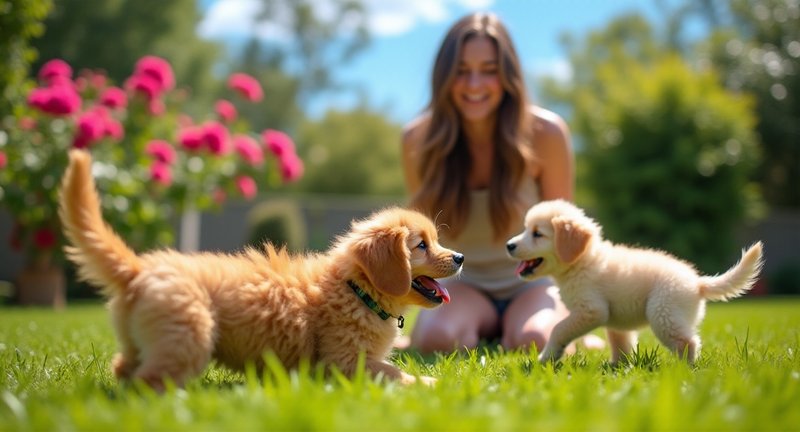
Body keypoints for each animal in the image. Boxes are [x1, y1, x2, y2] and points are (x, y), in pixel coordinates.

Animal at [59, 150, 466, 390]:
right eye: (422, 245)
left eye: (435, 240)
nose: (460, 257)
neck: (356, 288)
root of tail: (139, 268)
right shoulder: (343, 362)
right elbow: (393, 373)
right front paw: (430, 383)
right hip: (187, 334)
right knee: (150, 381)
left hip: (144, 339)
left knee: (122, 369)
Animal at [506, 200, 764, 364]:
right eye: (526, 229)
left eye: (537, 233)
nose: (509, 245)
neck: (582, 261)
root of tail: (698, 283)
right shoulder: (613, 321)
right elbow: (620, 344)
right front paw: (618, 367)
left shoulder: (591, 310)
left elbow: (558, 329)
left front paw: (546, 357)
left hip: (663, 312)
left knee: (688, 343)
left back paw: (681, 371)